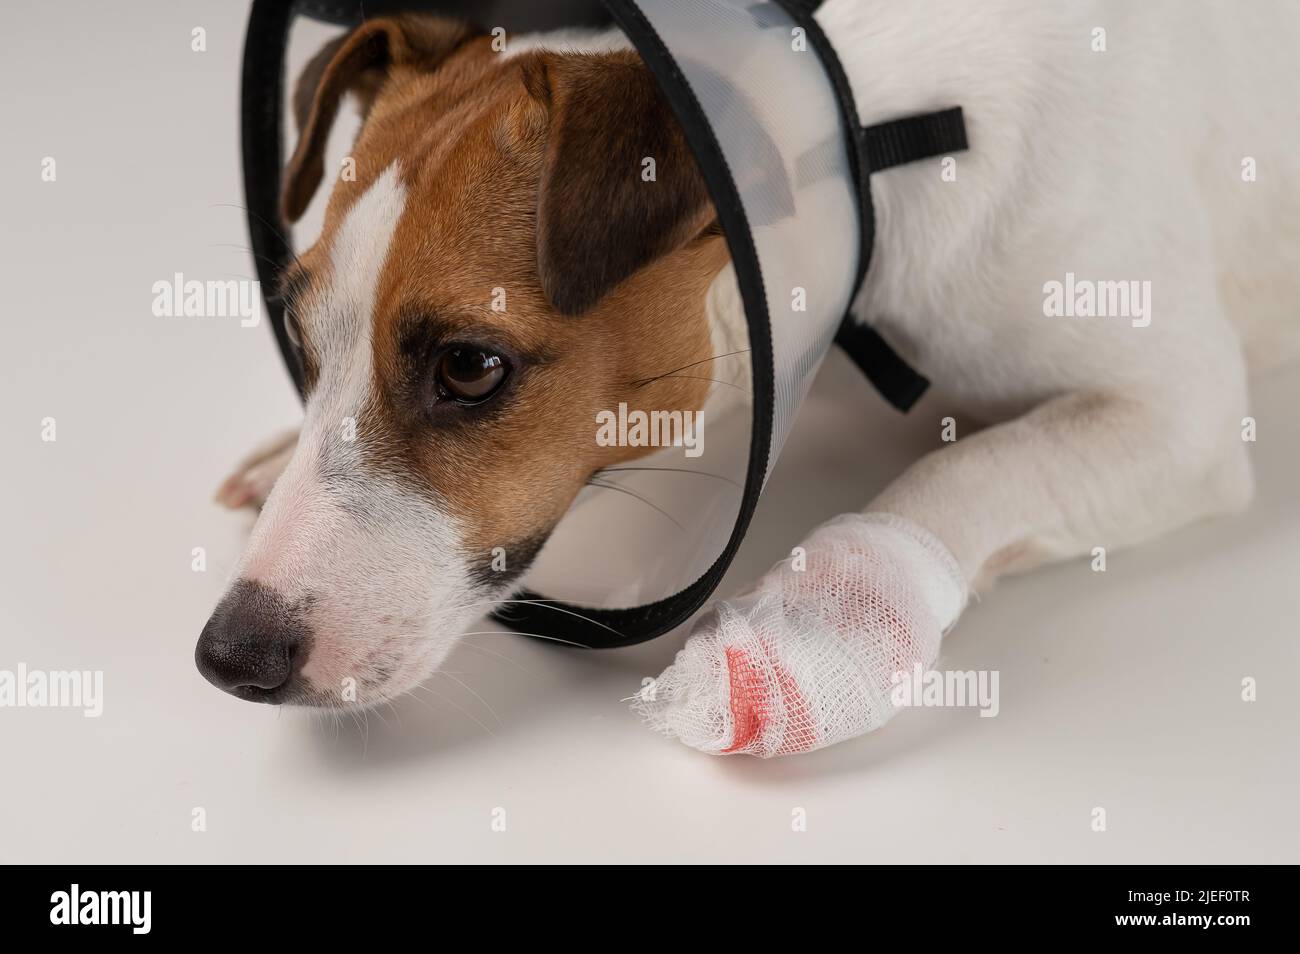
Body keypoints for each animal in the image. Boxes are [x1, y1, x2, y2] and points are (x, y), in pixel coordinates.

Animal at [195, 1, 1300, 764]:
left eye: (469, 368)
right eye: (295, 326)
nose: (229, 658)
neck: (869, 142)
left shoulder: (1182, 414)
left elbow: (968, 470)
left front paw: (816, 633)